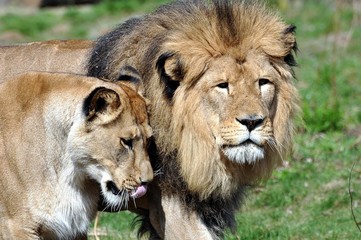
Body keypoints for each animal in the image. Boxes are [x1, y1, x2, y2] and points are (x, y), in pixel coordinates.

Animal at [0, 72, 153, 239]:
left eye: (149, 139)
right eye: (126, 141)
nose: (148, 181)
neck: (70, 172)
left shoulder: (73, 227)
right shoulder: (16, 225)